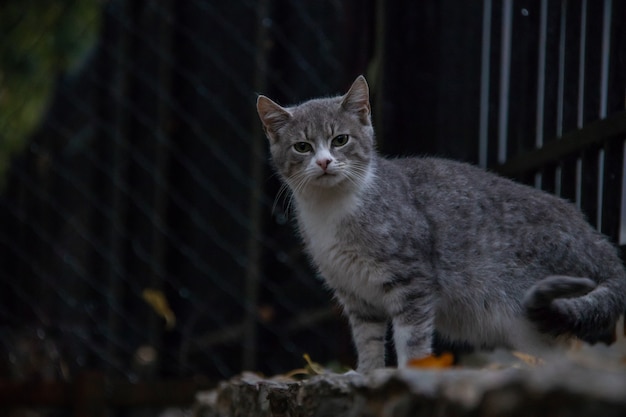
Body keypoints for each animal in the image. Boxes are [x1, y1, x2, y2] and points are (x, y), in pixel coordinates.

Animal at [255, 75, 624, 370]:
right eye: (302, 146)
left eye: (340, 140)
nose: (324, 162)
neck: (331, 208)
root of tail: (598, 243)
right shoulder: (357, 296)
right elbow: (368, 342)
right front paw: (367, 373)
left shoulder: (413, 280)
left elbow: (412, 338)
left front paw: (412, 372)